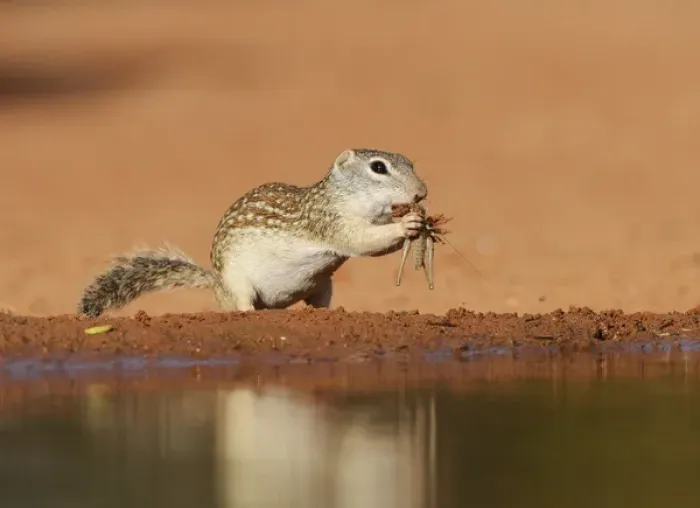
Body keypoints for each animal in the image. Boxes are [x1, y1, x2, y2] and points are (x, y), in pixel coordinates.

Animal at [78, 148, 429, 317]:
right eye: (378, 168)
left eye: (411, 163)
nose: (422, 193)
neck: (337, 195)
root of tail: (216, 286)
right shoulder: (329, 221)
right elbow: (363, 242)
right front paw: (407, 224)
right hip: (238, 283)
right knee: (243, 305)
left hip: (322, 287)